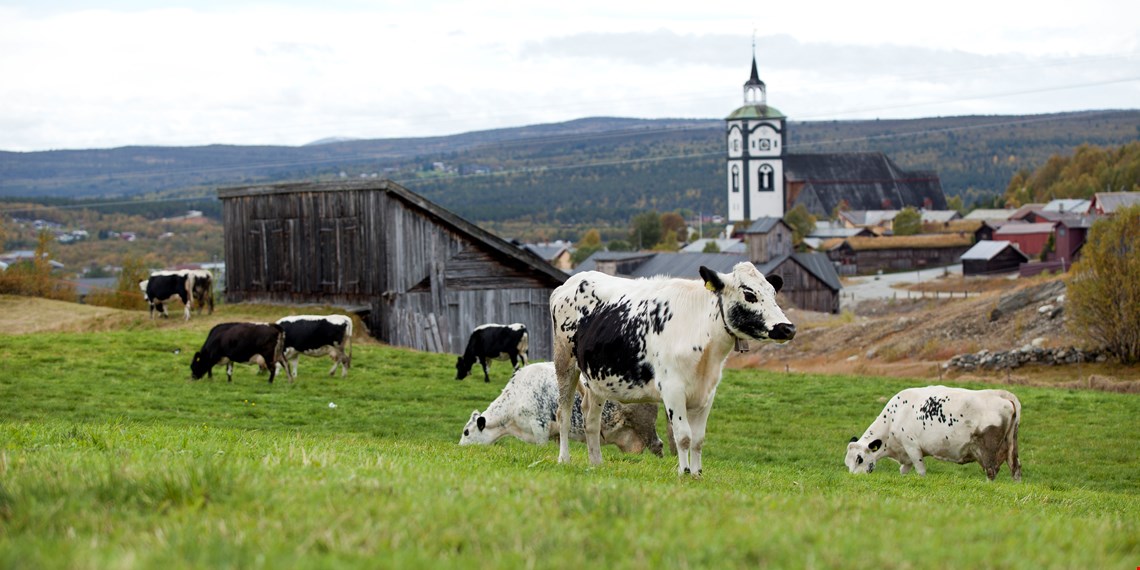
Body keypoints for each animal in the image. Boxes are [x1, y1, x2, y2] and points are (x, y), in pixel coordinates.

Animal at [549, 262, 793, 476]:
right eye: (749, 294)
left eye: (773, 293)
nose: (788, 328)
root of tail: (570, 282)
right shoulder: (672, 390)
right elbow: (683, 436)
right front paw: (683, 472)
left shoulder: (707, 392)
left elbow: (698, 439)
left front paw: (697, 473)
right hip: (564, 361)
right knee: (564, 413)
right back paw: (564, 459)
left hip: (597, 377)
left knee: (591, 417)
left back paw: (596, 462)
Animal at [848, 383, 1026, 481]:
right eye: (847, 463)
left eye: (859, 459)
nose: (854, 477)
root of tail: (999, 394)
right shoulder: (906, 454)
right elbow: (903, 471)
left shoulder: (911, 445)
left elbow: (921, 471)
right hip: (1011, 444)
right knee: (1015, 468)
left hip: (988, 448)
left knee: (991, 471)